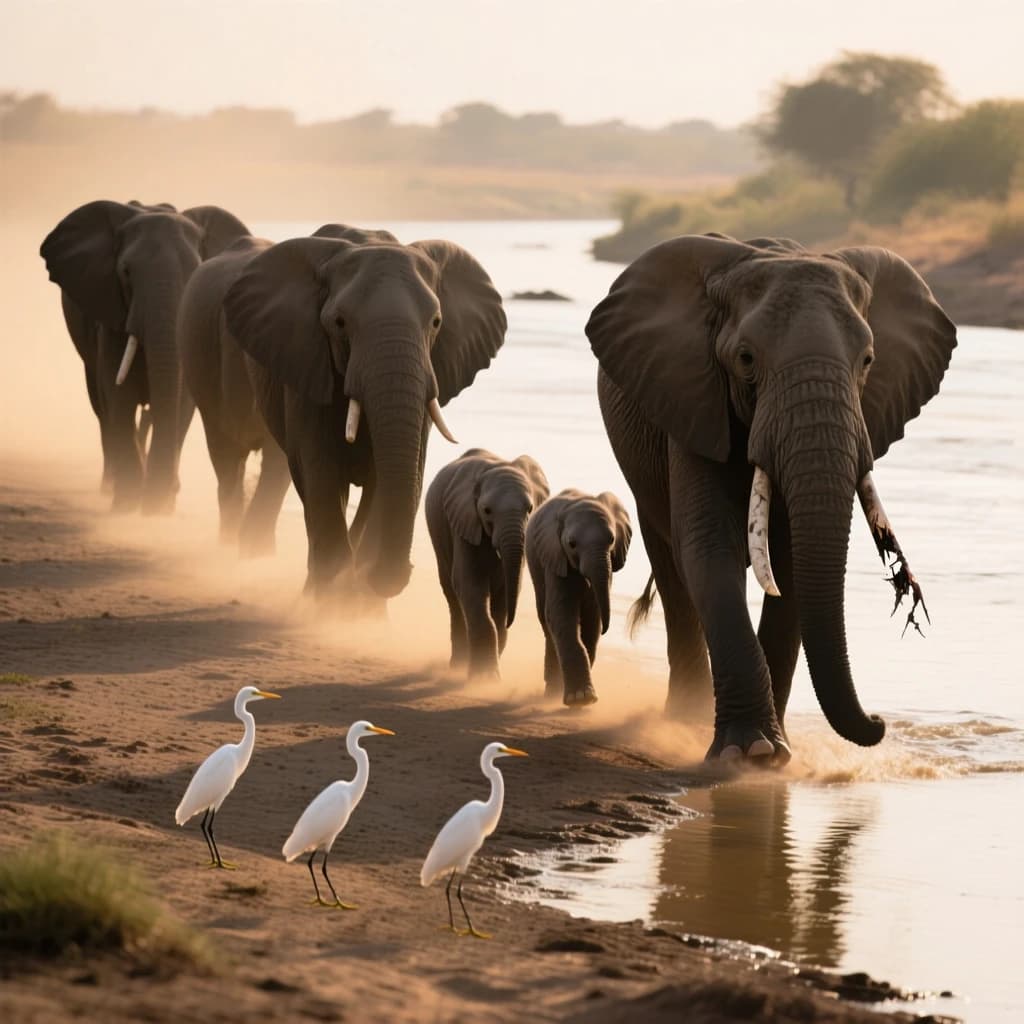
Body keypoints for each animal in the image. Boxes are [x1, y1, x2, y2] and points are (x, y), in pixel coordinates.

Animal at [40, 200, 250, 513]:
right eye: (126, 272)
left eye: (195, 273)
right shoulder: (110, 312)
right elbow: (119, 394)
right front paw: (129, 505)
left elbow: (181, 402)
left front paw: (159, 507)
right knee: (101, 406)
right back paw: (111, 486)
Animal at [222, 225, 507, 600]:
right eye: (340, 322)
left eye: (436, 322)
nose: (403, 573)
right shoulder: (307, 369)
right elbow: (320, 470)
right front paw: (331, 607)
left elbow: (393, 476)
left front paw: (363, 607)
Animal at [425, 448, 550, 677]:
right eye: (487, 511)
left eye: (530, 509)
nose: (511, 622)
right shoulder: (464, 521)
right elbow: (468, 583)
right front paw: (486, 678)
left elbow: (508, 589)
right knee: (452, 595)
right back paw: (457, 666)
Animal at [525, 489, 632, 706]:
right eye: (572, 544)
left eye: (611, 540)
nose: (607, 630)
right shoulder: (555, 556)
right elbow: (561, 615)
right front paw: (581, 699)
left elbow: (592, 618)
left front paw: (583, 697)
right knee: (546, 621)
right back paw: (552, 691)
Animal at [586, 233, 957, 764]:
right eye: (745, 359)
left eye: (868, 360)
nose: (880, 722)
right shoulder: (695, 400)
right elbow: (709, 549)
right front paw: (749, 752)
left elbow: (793, 563)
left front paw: (776, 754)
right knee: (673, 571)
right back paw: (684, 720)